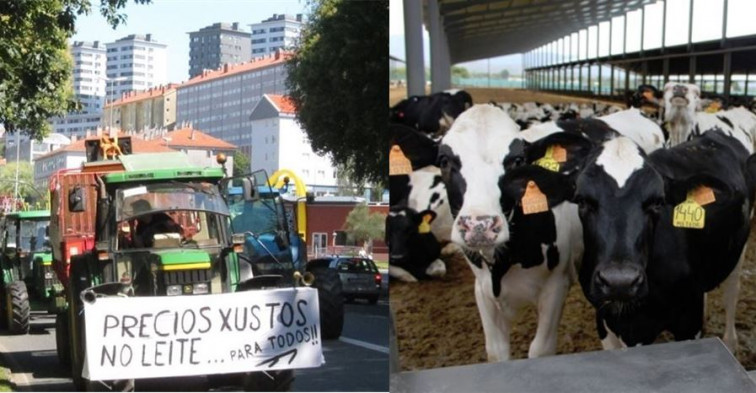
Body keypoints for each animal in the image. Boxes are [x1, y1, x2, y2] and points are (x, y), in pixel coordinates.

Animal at [434, 103, 588, 358]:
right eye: (444, 161)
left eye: (517, 160)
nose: (479, 225)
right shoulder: (482, 290)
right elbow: (496, 351)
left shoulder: (556, 284)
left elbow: (540, 349)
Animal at [572, 131, 756, 350]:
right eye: (582, 200)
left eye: (658, 202)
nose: (620, 281)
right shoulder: (604, 320)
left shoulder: (689, 321)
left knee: (732, 291)